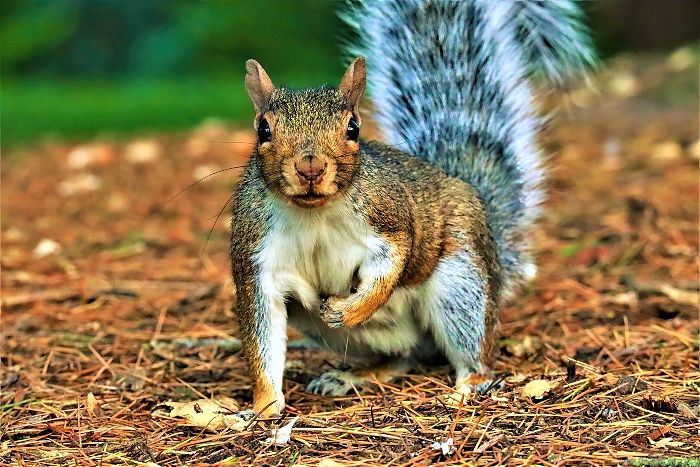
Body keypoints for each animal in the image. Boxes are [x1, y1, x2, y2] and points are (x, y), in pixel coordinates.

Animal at [230, 0, 596, 416]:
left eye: (353, 127)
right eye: (263, 129)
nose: (311, 168)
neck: (315, 213)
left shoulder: (390, 218)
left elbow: (391, 267)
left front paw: (351, 309)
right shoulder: (257, 257)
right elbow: (262, 337)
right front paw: (262, 407)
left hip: (461, 286)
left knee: (471, 350)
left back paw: (466, 386)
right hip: (332, 330)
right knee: (405, 355)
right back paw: (353, 375)